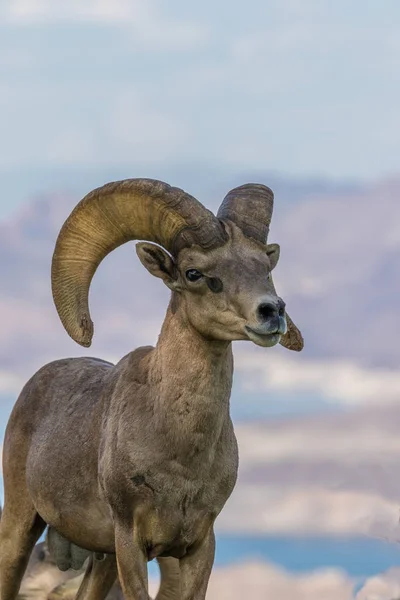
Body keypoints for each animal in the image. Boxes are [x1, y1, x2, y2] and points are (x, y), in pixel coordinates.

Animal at [0, 179, 302, 600]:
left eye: (265, 266)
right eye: (194, 272)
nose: (272, 312)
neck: (179, 456)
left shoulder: (198, 547)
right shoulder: (131, 543)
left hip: (101, 560)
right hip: (21, 524)